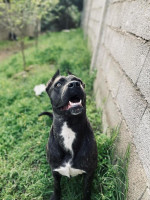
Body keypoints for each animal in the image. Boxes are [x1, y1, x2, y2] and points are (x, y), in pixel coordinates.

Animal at [44, 70, 97, 200]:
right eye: (58, 84)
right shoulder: (55, 171)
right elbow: (57, 187)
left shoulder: (89, 173)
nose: (74, 84)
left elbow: (86, 190)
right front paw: (55, 197)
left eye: (79, 81)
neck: (69, 127)